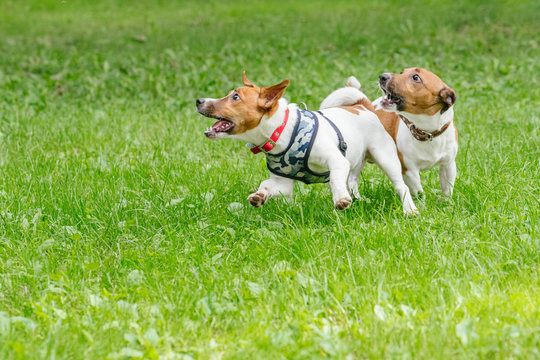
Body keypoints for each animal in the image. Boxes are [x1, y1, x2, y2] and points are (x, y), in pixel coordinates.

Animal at [196, 71, 420, 215]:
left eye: (235, 97)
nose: (199, 101)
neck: (283, 130)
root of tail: (362, 107)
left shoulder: (337, 161)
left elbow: (335, 181)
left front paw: (340, 198)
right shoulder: (282, 183)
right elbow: (267, 185)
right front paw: (260, 195)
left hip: (385, 158)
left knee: (401, 186)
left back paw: (409, 210)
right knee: (352, 181)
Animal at [322, 68, 458, 198]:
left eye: (416, 77)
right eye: (402, 72)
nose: (383, 76)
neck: (426, 133)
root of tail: (365, 105)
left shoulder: (448, 165)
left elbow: (447, 190)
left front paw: (446, 203)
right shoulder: (409, 171)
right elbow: (419, 193)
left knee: (351, 179)